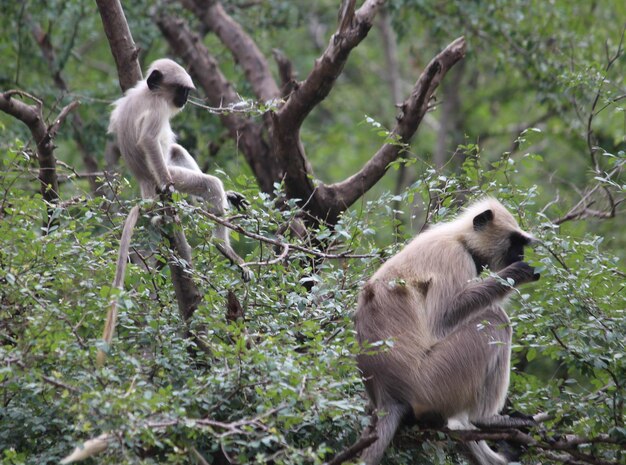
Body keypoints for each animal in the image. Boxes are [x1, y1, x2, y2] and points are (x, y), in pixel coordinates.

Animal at [98, 57, 250, 362]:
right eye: (181, 90)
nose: (186, 99)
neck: (149, 92)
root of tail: (145, 188)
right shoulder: (156, 108)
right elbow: (148, 140)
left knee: (177, 150)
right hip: (170, 177)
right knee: (206, 182)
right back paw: (221, 246)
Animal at [354, 198, 540, 464]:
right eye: (514, 242)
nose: (521, 254)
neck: (459, 238)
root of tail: (387, 392)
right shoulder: (455, 257)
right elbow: (441, 320)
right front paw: (517, 273)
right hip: (436, 379)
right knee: (494, 318)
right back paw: (485, 419)